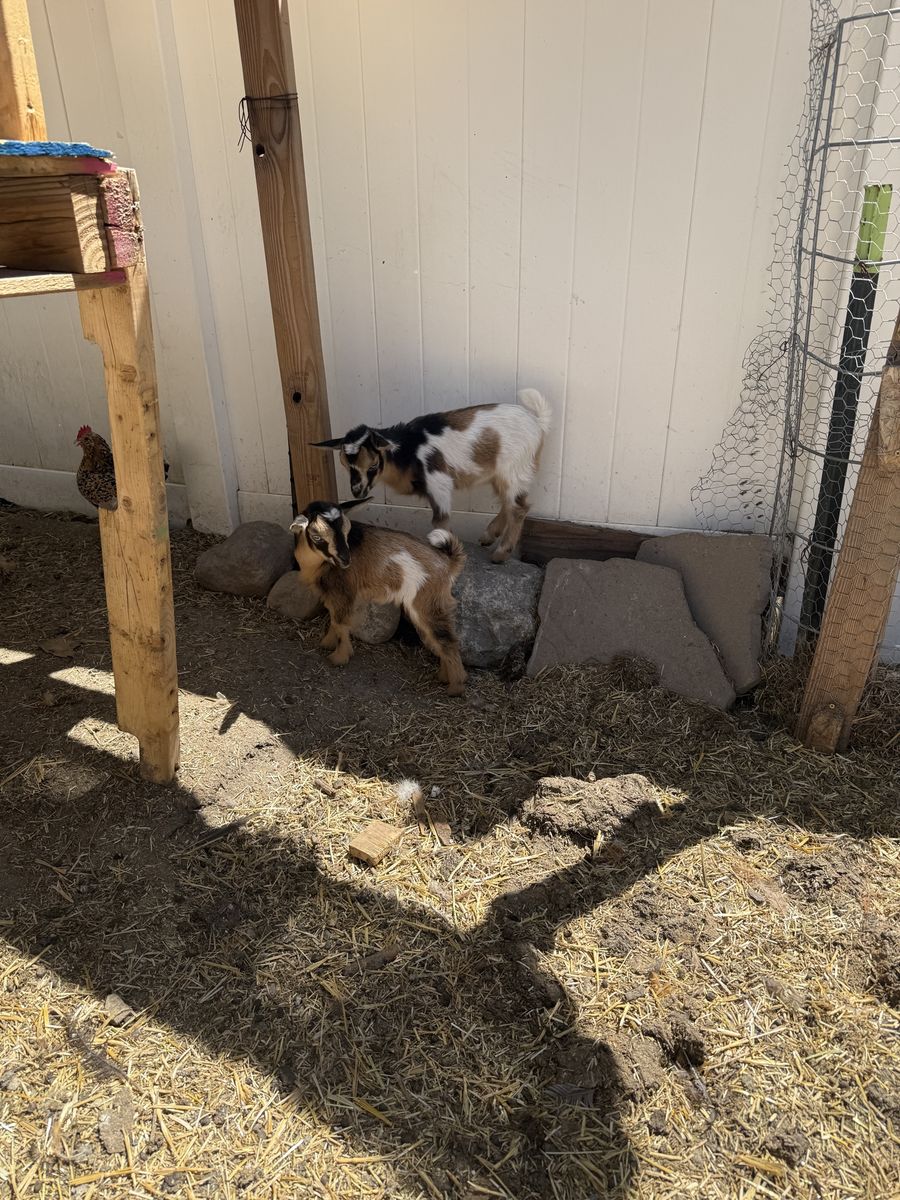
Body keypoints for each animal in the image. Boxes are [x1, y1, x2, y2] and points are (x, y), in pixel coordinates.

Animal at [290, 499, 467, 695]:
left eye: (347, 530)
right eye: (317, 537)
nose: (346, 560)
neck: (315, 563)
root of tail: (448, 563)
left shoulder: (343, 592)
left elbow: (340, 623)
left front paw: (339, 657)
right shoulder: (332, 595)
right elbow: (333, 620)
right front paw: (327, 643)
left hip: (427, 603)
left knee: (446, 640)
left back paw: (455, 688)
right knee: (439, 638)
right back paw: (444, 677)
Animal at [313, 388, 551, 563]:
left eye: (373, 466)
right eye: (346, 465)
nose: (357, 491)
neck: (407, 450)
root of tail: (538, 422)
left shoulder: (439, 482)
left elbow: (440, 520)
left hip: (514, 468)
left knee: (518, 508)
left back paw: (500, 554)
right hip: (504, 473)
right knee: (508, 502)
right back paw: (488, 536)